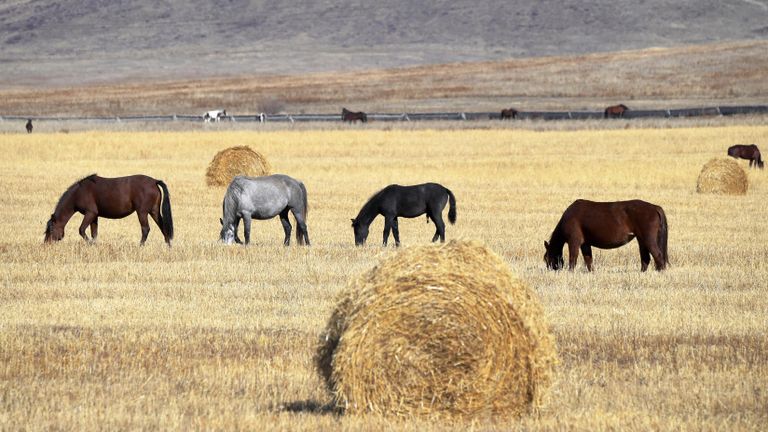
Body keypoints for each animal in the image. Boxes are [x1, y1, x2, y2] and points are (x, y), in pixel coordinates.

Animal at [44, 174, 174, 245]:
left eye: (51, 229)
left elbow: (81, 230)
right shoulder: (94, 216)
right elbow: (94, 233)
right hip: (154, 211)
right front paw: (94, 244)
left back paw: (140, 246)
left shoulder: (90, 213)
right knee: (163, 227)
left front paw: (90, 244)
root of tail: (154, 181)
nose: (46, 244)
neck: (79, 193)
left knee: (145, 229)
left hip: (142, 212)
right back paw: (168, 246)